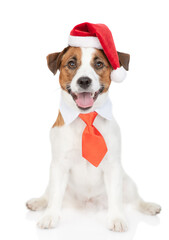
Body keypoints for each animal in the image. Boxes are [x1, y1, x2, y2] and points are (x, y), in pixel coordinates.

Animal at [26, 23, 161, 232]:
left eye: (98, 64)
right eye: (71, 64)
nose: (84, 81)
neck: (85, 117)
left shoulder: (113, 166)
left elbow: (116, 196)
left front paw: (117, 218)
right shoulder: (59, 165)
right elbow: (55, 196)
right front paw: (50, 216)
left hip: (127, 182)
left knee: (135, 199)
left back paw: (148, 206)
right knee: (49, 193)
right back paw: (39, 202)